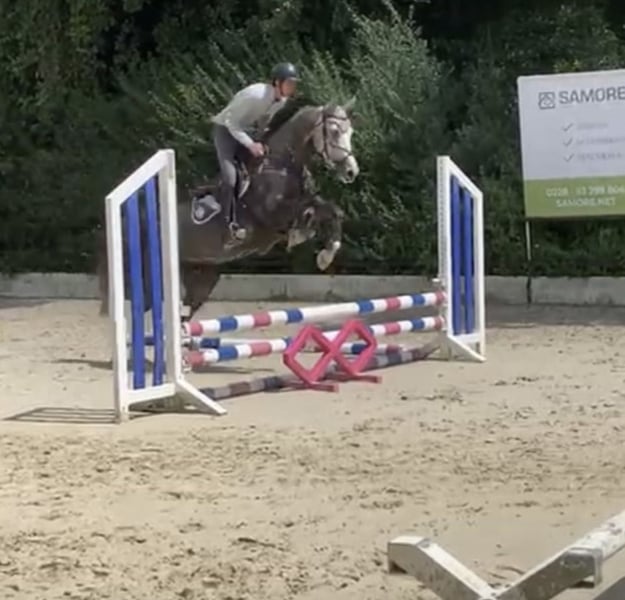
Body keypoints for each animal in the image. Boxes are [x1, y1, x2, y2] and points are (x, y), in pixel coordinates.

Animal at [97, 98, 359, 321]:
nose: (351, 172)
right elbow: (310, 214)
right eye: (335, 131)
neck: (280, 165)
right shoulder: (273, 216)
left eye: (351, 132)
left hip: (203, 276)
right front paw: (311, 240)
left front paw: (326, 254)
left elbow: (333, 211)